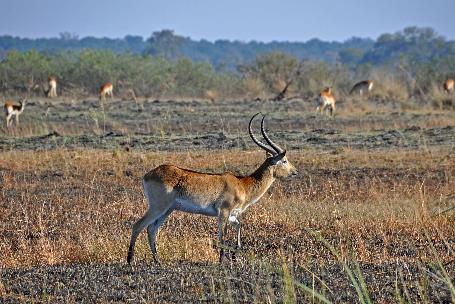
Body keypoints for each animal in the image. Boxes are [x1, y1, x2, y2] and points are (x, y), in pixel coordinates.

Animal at [128, 112, 300, 264]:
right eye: (284, 160)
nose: (295, 171)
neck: (243, 184)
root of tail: (149, 174)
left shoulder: (232, 215)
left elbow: (239, 226)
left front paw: (234, 256)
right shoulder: (223, 212)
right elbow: (222, 237)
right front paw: (221, 262)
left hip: (168, 210)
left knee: (152, 230)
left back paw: (158, 261)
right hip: (158, 207)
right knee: (138, 225)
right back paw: (130, 261)